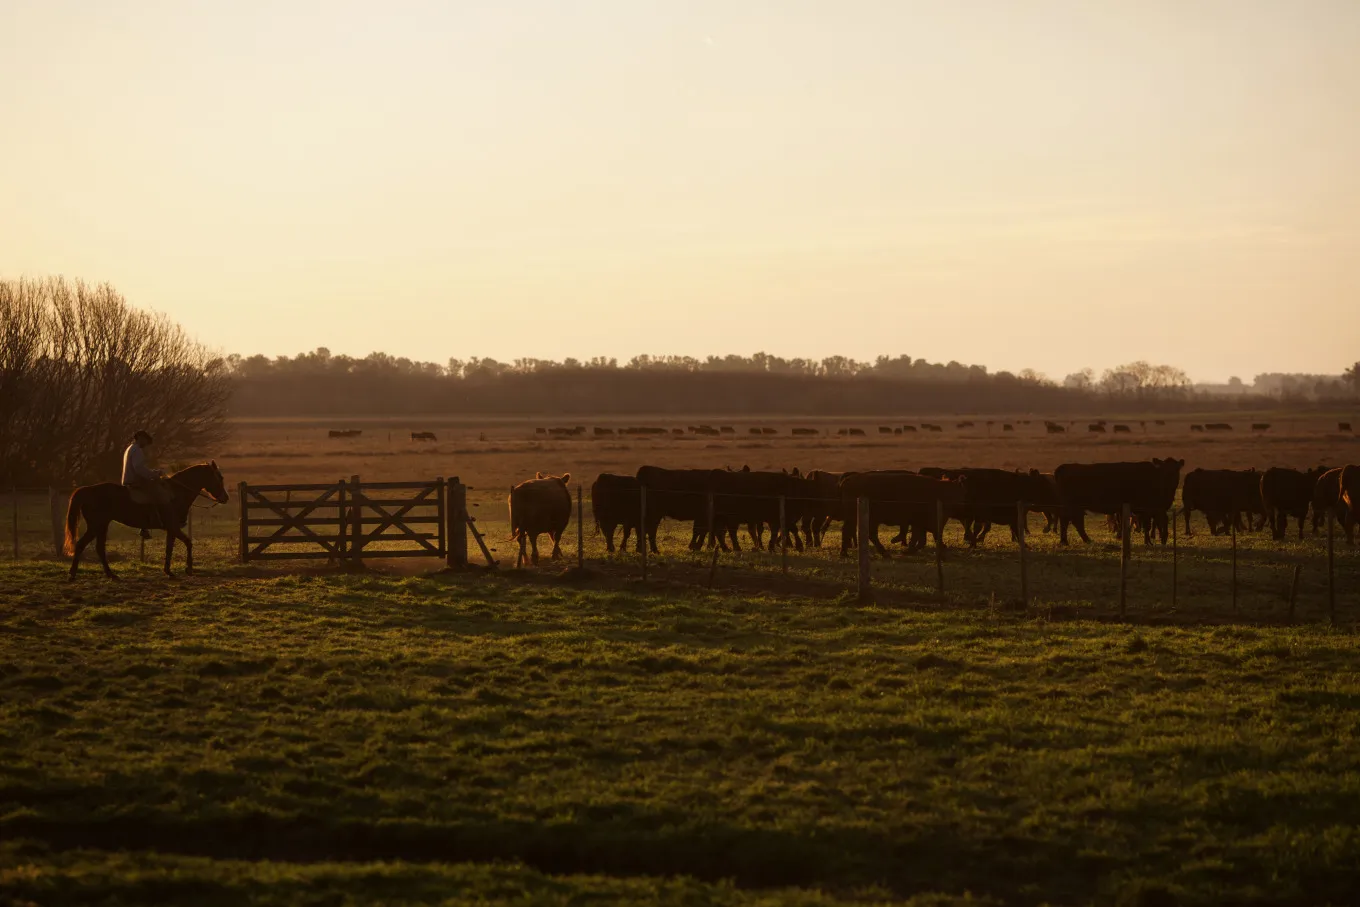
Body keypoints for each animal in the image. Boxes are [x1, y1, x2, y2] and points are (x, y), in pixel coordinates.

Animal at [1052, 459, 1185, 546]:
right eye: (1164, 469)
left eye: (1176, 469)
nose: (1171, 480)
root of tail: (1064, 467)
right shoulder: (1147, 509)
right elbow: (1148, 525)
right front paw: (1149, 542)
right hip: (1070, 505)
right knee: (1068, 520)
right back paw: (1066, 541)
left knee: (1074, 521)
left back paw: (1083, 540)